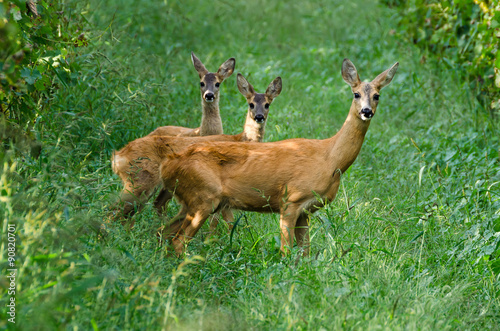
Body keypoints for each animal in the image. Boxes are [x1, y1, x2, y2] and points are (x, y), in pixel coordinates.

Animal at [111, 74, 282, 222]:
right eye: (251, 104)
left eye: (267, 105)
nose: (259, 117)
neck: (242, 139)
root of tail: (117, 157)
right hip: (139, 180)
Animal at [160, 59, 398, 256]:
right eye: (356, 94)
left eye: (377, 95)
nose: (366, 111)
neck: (330, 159)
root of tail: (168, 165)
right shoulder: (291, 200)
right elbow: (287, 253)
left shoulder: (306, 211)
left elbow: (305, 254)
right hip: (204, 197)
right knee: (178, 241)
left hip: (190, 202)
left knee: (164, 232)